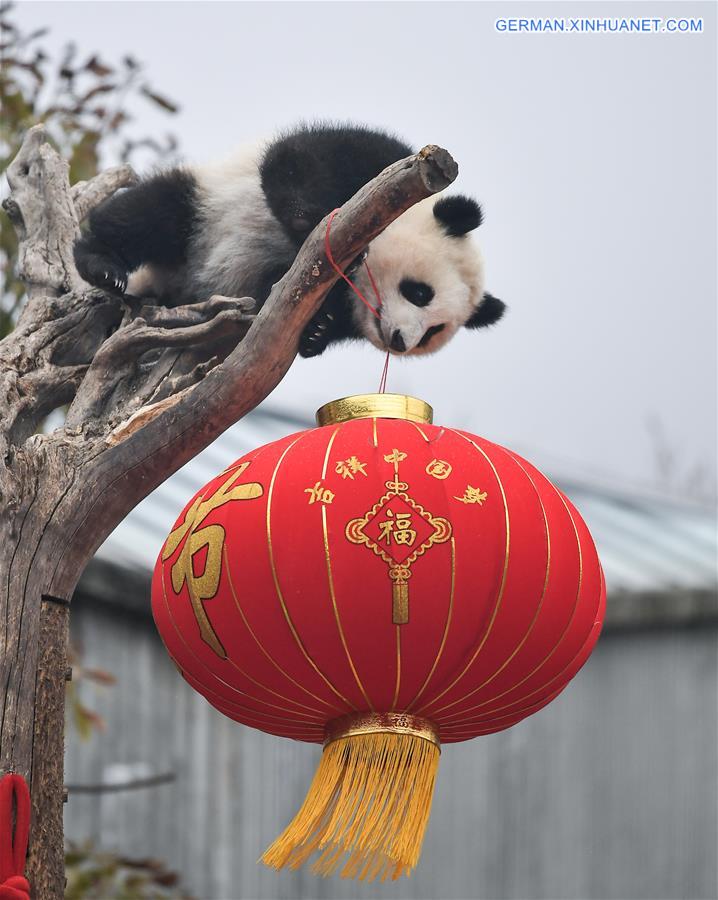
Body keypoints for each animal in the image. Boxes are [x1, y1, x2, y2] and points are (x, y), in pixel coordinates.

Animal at [74, 122, 506, 358]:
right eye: (419, 293)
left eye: (434, 332)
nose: (400, 341)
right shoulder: (379, 161)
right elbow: (292, 162)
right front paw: (315, 223)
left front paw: (317, 331)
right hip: (201, 211)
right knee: (151, 213)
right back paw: (102, 265)